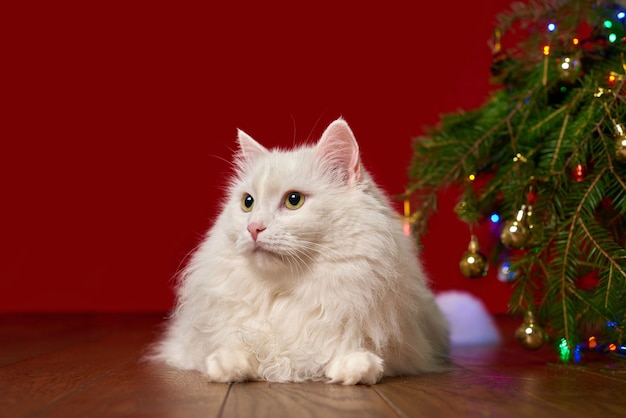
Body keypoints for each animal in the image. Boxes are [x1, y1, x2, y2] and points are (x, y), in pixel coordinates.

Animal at [154, 117, 450, 386]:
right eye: (248, 203)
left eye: (294, 200)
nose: (253, 228)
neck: (285, 291)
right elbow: (238, 346)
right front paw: (229, 366)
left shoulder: (405, 344)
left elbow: (353, 350)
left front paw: (355, 368)